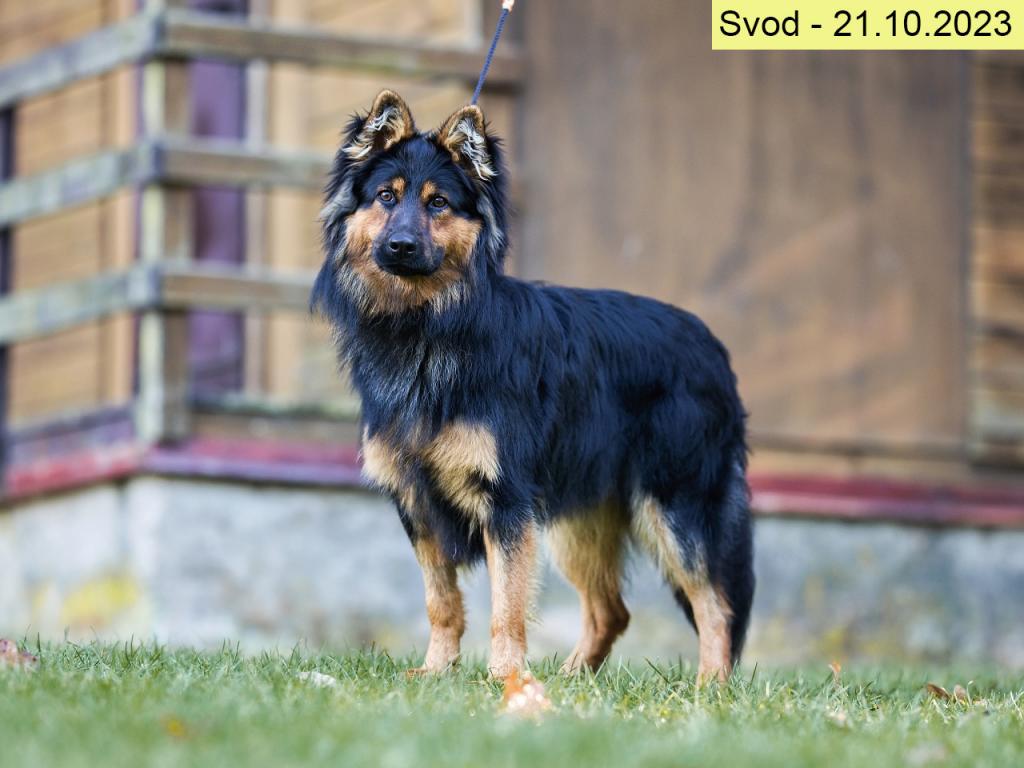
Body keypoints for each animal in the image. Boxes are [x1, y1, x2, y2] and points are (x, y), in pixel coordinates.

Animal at [312, 90, 754, 682]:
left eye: (438, 204)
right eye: (386, 196)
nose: (401, 246)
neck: (429, 326)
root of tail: (711, 346)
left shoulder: (506, 502)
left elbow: (507, 603)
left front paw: (506, 680)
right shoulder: (417, 505)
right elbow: (441, 601)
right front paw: (436, 673)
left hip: (676, 505)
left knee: (715, 603)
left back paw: (709, 686)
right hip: (578, 522)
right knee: (612, 610)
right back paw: (574, 679)